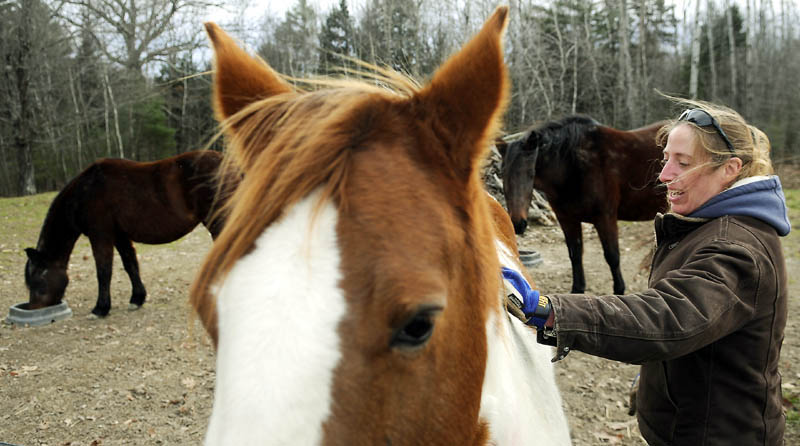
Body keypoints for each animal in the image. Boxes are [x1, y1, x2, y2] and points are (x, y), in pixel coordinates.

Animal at [24, 150, 228, 318]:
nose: (34, 308)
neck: (86, 191)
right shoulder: (119, 236)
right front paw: (137, 299)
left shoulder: (101, 235)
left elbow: (104, 270)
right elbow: (130, 264)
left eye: (38, 281)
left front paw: (100, 309)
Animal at [500, 116, 668, 294]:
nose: (517, 224)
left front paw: (619, 290)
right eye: (503, 173)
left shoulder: (605, 218)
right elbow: (575, 255)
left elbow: (612, 257)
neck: (573, 166)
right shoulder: (567, 219)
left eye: (530, 173)